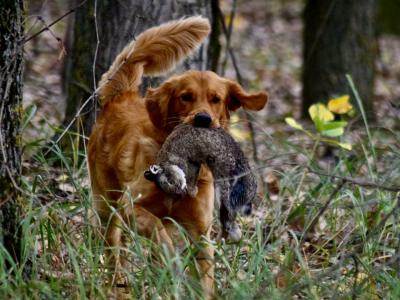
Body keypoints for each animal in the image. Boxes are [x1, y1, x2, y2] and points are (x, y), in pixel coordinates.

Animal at [88, 15, 268, 294]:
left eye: (216, 99)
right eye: (186, 97)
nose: (203, 119)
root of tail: (122, 96)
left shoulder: (201, 231)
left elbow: (205, 280)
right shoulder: (131, 206)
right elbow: (157, 230)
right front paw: (169, 257)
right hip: (108, 204)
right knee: (112, 249)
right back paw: (117, 284)